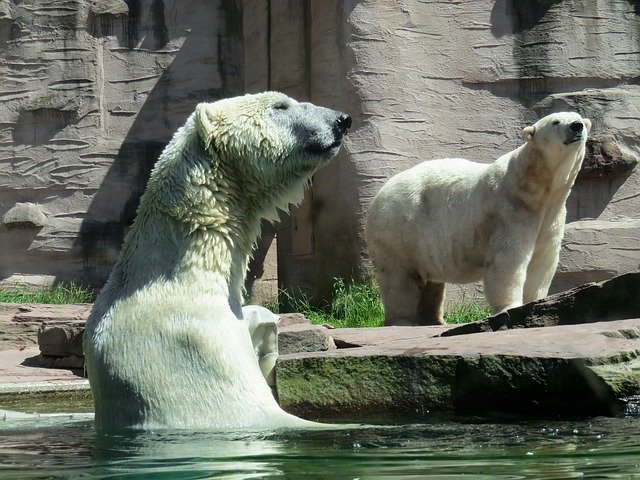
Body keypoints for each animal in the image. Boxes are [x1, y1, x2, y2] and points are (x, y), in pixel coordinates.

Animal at [364, 111, 592, 326]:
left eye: (579, 118)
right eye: (555, 122)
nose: (576, 126)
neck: (534, 188)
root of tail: (380, 193)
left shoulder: (551, 216)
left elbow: (542, 262)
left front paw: (535, 304)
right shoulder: (509, 212)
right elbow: (507, 262)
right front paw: (511, 307)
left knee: (430, 282)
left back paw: (434, 319)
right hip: (398, 229)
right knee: (399, 278)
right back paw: (403, 320)